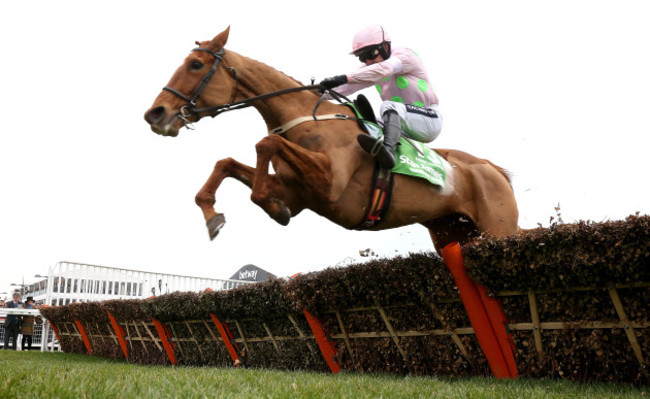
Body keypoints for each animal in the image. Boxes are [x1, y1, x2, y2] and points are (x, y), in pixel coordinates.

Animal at [143, 27, 516, 253]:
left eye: (195, 64)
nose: (155, 114)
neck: (305, 116)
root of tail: (492, 169)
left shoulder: (331, 184)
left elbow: (265, 145)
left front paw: (268, 206)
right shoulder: (298, 193)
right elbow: (226, 163)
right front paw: (213, 217)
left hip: (497, 229)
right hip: (453, 232)